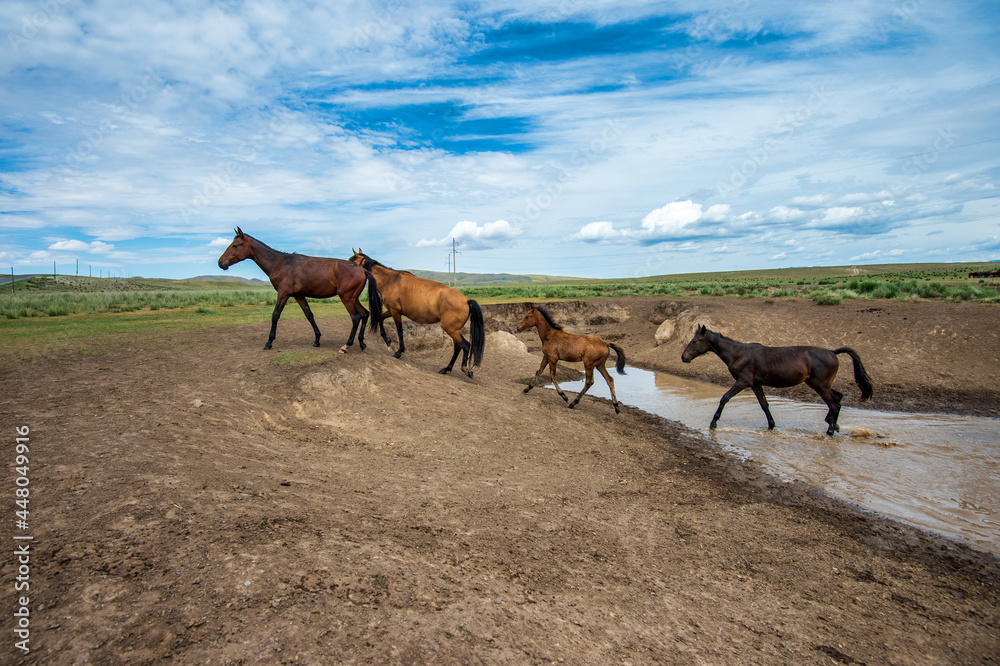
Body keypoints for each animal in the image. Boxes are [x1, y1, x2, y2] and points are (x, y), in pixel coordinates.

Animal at [217, 228, 382, 352]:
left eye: (235, 245)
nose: (220, 263)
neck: (280, 263)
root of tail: (362, 269)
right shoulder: (299, 295)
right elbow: (309, 315)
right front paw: (317, 339)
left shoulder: (283, 294)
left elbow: (275, 315)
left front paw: (269, 342)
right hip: (353, 298)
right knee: (364, 314)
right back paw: (361, 343)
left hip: (347, 298)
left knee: (356, 317)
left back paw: (346, 345)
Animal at [348, 249, 485, 377]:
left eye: (352, 260)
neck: (391, 281)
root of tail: (467, 300)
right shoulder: (392, 310)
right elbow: (380, 319)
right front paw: (387, 339)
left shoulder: (396, 312)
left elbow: (400, 331)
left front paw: (398, 352)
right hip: (454, 330)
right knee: (457, 347)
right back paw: (446, 369)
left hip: (451, 329)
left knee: (465, 345)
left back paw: (465, 369)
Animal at [681, 324, 873, 435]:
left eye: (696, 340)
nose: (683, 357)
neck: (739, 354)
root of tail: (833, 352)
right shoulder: (756, 384)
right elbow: (764, 405)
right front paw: (771, 426)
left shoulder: (743, 382)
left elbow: (724, 398)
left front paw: (713, 423)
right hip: (818, 384)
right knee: (838, 399)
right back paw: (833, 424)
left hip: (820, 385)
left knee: (834, 404)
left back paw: (831, 431)